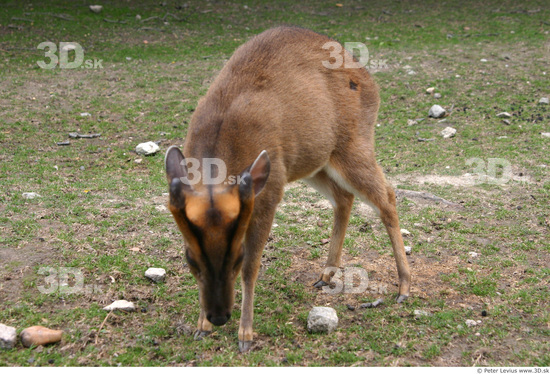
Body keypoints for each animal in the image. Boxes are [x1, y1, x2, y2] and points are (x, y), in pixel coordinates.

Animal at [166, 25, 412, 350]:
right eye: (189, 258)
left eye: (236, 257)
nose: (218, 317)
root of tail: (368, 79)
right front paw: (200, 326)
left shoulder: (269, 195)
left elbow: (252, 268)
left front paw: (245, 335)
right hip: (312, 162)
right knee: (344, 197)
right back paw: (325, 275)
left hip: (353, 145)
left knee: (387, 195)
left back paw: (404, 287)